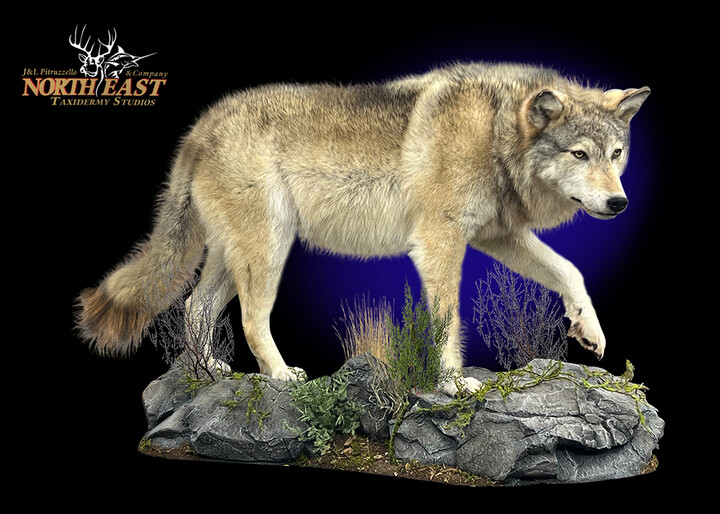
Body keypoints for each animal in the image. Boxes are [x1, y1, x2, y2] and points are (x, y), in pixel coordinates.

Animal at [75, 62, 649, 394]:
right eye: (580, 154)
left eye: (616, 154)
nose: (619, 203)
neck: (495, 131)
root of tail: (199, 127)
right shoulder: (440, 243)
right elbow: (448, 321)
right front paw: (452, 384)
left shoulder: (497, 237)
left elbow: (570, 271)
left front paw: (590, 331)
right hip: (269, 250)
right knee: (251, 320)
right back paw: (280, 377)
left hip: (233, 257)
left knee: (195, 307)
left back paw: (209, 373)